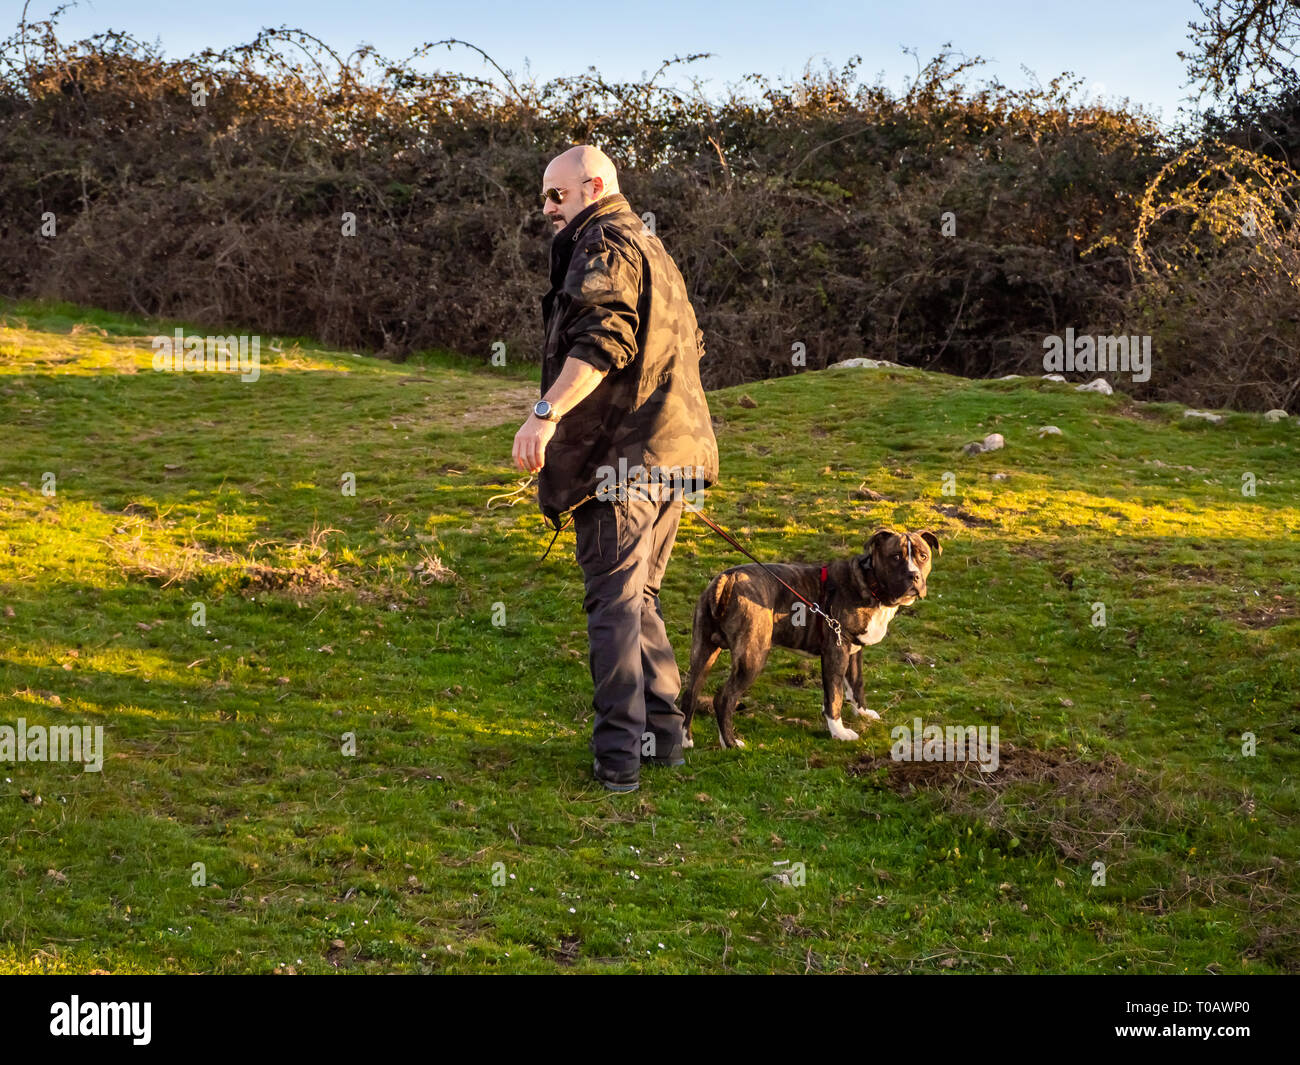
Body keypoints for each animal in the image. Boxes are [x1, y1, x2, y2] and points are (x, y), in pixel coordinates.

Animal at [676, 527, 941, 749]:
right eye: (895, 557)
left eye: (923, 556)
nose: (914, 576)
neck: (869, 582)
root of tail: (727, 579)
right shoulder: (836, 651)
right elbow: (834, 696)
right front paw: (839, 732)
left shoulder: (854, 652)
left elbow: (856, 684)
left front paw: (863, 712)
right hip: (752, 657)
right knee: (724, 698)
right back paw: (730, 743)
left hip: (704, 650)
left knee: (691, 693)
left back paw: (685, 740)